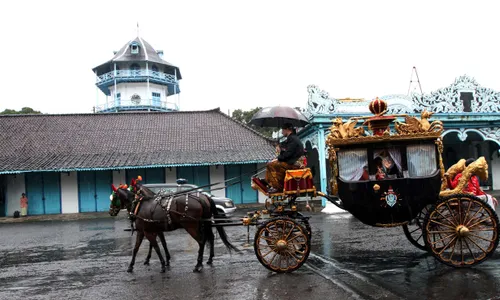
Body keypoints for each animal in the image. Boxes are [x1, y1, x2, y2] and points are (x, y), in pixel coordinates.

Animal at [109, 179, 238, 274]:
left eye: (114, 197)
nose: (111, 212)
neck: (141, 206)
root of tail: (203, 198)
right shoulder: (148, 230)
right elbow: (140, 248)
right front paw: (133, 265)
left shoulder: (147, 231)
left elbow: (155, 247)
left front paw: (161, 264)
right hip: (204, 223)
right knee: (209, 238)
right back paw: (209, 259)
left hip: (191, 226)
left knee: (201, 241)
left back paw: (198, 265)